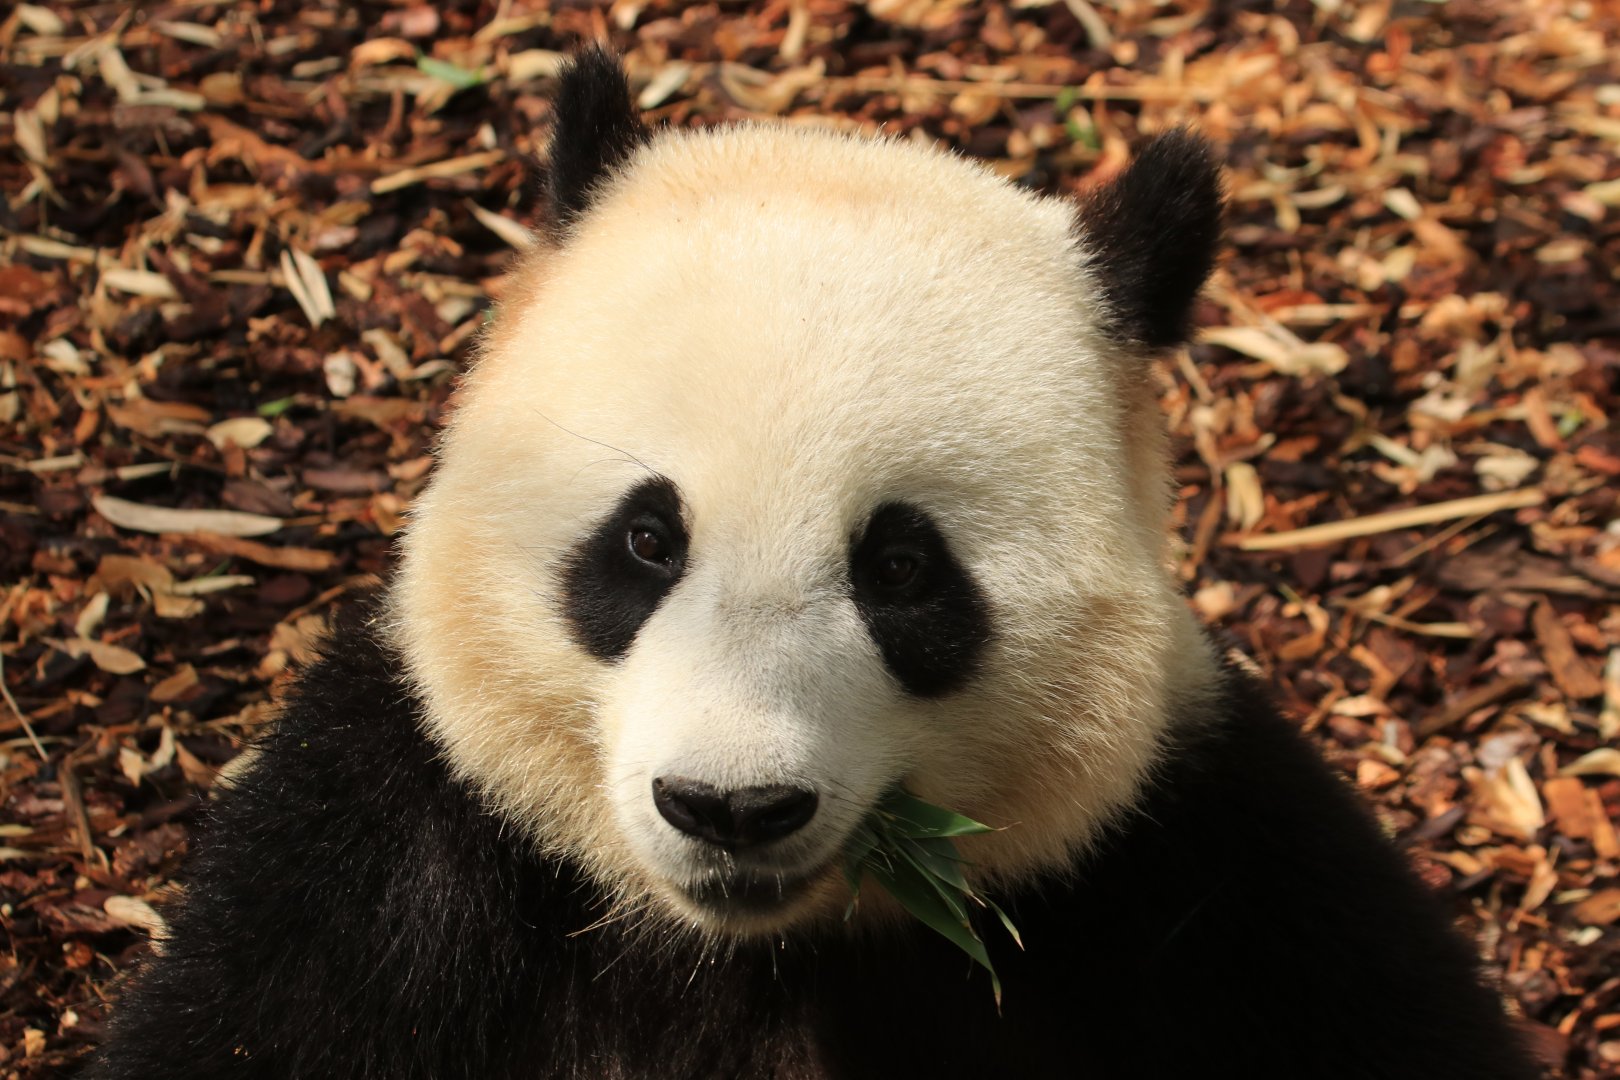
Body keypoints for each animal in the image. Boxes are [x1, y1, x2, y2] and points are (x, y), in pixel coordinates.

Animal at [89, 50, 1538, 1080]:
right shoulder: (393, 855)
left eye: (901, 569)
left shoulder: (1193, 869)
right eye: (647, 540)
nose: (730, 809)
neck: (746, 954)